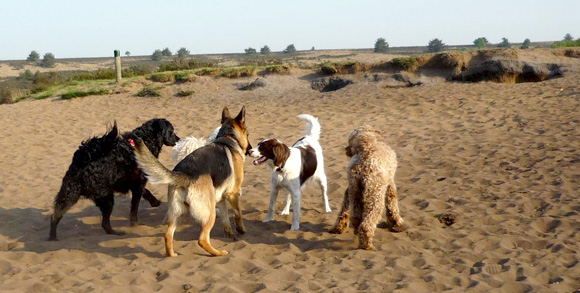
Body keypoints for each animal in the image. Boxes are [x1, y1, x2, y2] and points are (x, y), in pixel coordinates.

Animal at [49, 118, 179, 240]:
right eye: (171, 131)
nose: (178, 139)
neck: (146, 140)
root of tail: (82, 161)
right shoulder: (138, 184)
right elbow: (135, 209)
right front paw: (136, 224)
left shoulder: (135, 184)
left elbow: (145, 192)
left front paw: (154, 202)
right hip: (106, 198)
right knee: (105, 223)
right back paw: (117, 233)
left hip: (70, 194)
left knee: (55, 216)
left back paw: (52, 238)